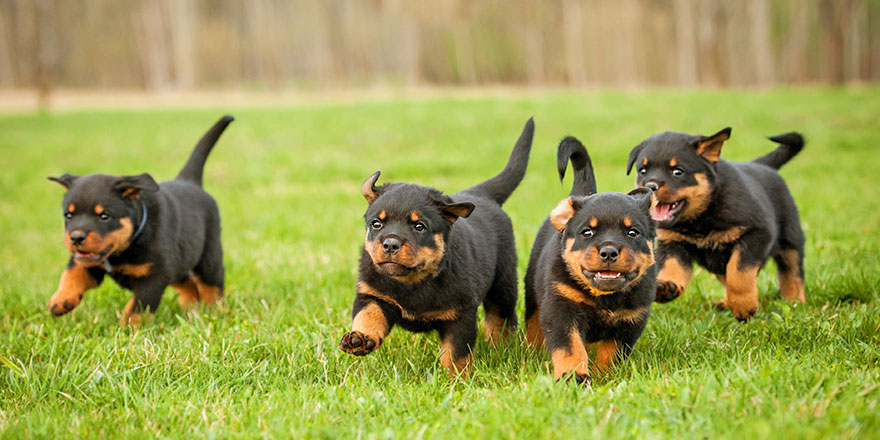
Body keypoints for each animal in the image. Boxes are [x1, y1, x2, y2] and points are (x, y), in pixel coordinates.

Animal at [47, 115, 234, 324]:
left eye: (104, 216)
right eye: (68, 215)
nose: (76, 237)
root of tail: (189, 181)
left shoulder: (155, 276)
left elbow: (136, 308)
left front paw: (126, 329)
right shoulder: (89, 263)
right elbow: (72, 273)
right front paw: (61, 300)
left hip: (208, 257)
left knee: (212, 285)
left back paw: (213, 311)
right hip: (180, 261)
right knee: (188, 283)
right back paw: (191, 306)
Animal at [338, 117, 536, 374]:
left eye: (419, 226)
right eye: (376, 224)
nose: (390, 244)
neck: (412, 281)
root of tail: (482, 194)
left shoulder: (461, 315)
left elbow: (456, 352)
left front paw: (455, 378)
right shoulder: (372, 294)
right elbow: (368, 316)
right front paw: (359, 339)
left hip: (503, 283)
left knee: (501, 317)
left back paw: (501, 348)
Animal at [524, 138, 656, 384]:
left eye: (632, 232)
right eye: (587, 232)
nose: (609, 252)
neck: (606, 298)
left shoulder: (631, 319)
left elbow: (612, 351)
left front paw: (606, 375)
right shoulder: (562, 308)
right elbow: (570, 347)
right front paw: (574, 376)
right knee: (533, 321)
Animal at [624, 127, 804, 320]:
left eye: (678, 171)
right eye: (643, 170)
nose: (650, 186)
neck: (700, 217)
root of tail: (762, 166)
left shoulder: (757, 233)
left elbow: (739, 273)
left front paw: (744, 306)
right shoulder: (672, 242)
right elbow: (673, 266)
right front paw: (668, 286)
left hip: (790, 240)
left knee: (792, 273)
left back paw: (794, 302)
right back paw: (724, 303)